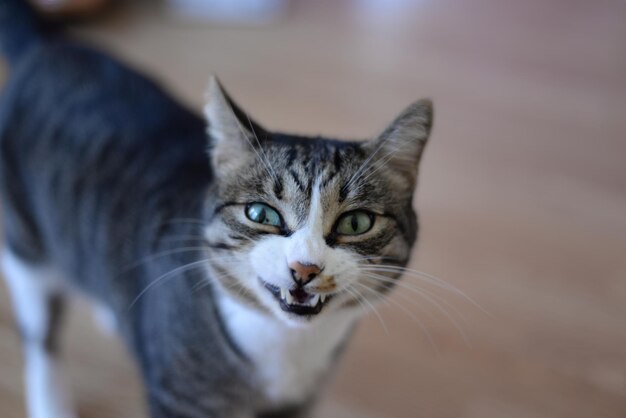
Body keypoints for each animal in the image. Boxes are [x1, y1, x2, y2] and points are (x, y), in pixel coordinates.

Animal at [0, 0, 428, 416]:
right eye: (260, 214)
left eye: (356, 223)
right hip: (24, 246)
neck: (286, 346)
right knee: (41, 339)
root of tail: (51, 44)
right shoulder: (181, 399)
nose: (305, 268)